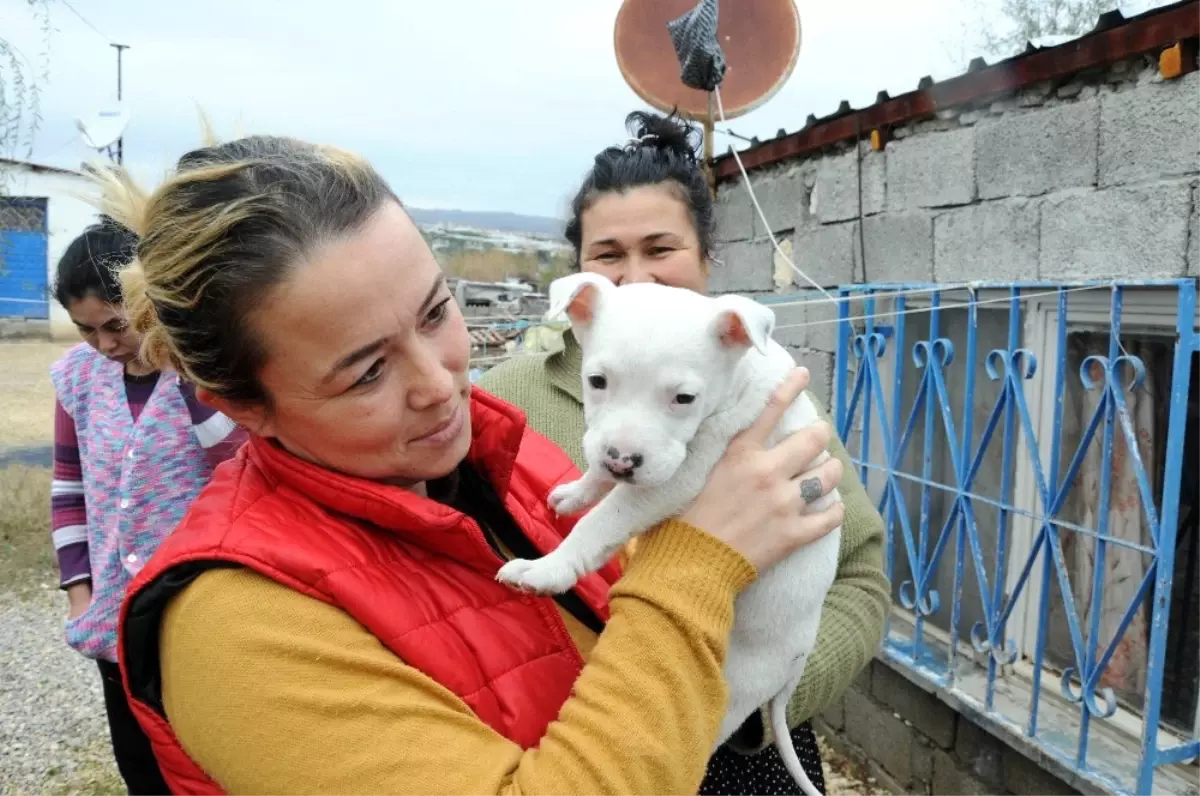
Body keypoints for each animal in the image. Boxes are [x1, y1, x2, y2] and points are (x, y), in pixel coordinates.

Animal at [496, 272, 844, 796]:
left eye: (684, 399)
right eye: (596, 381)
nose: (621, 460)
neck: (738, 379)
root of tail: (797, 660)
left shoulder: (676, 479)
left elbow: (602, 521)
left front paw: (547, 569)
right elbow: (599, 489)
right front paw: (577, 491)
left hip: (736, 682)